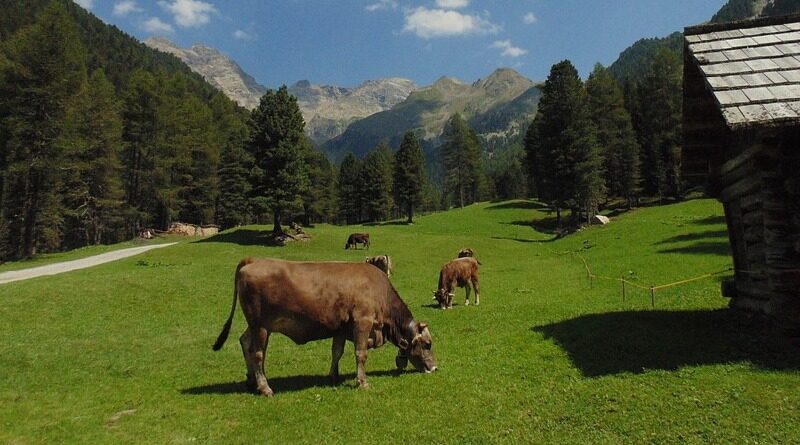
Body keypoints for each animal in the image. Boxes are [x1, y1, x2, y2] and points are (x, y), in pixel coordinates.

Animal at [212, 256, 438, 396]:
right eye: (428, 344)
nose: (435, 368)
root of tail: (253, 260)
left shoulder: (341, 328)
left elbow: (336, 352)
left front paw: (333, 376)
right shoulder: (362, 322)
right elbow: (360, 354)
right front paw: (362, 381)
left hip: (255, 325)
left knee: (244, 341)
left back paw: (251, 380)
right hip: (261, 326)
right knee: (257, 353)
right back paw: (264, 387)